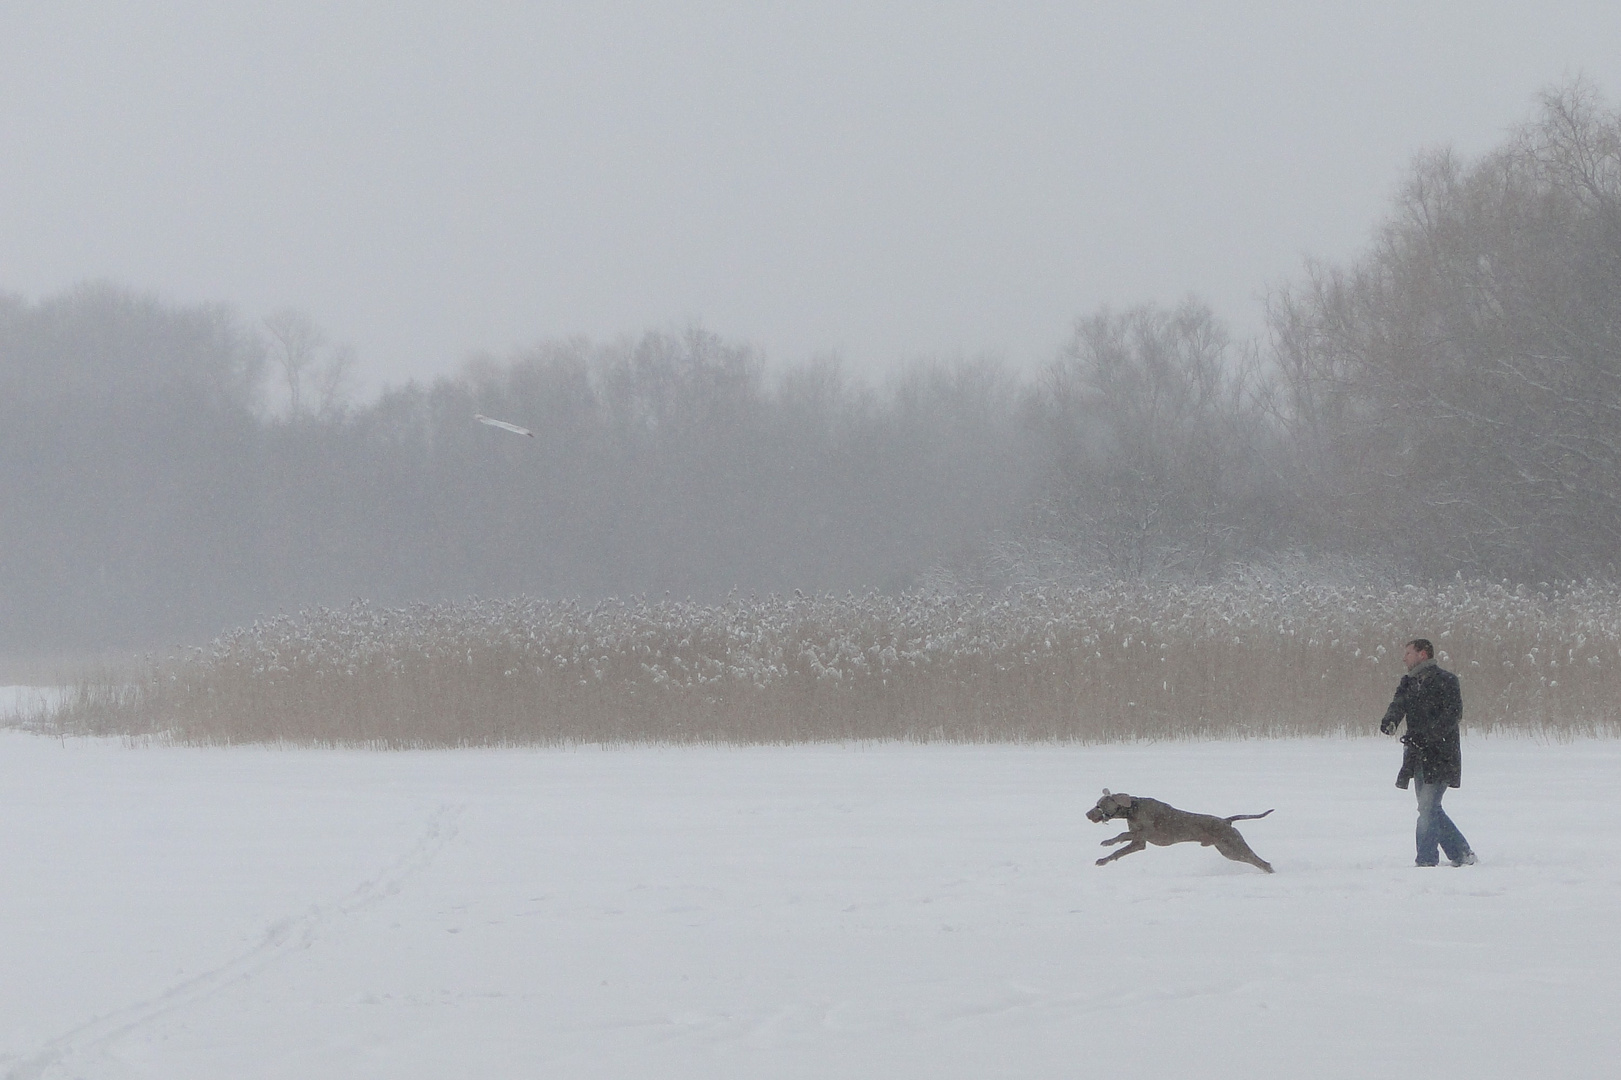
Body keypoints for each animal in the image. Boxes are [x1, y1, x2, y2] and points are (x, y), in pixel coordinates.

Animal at [1089, 788, 1277, 869]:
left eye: (1099, 805)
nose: (1086, 814)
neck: (1132, 809)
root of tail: (1226, 821)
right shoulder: (1138, 842)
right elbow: (1120, 847)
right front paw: (1105, 855)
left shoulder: (1146, 834)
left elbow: (1123, 835)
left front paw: (1107, 845)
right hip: (1227, 850)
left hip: (1235, 847)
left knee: (1262, 862)